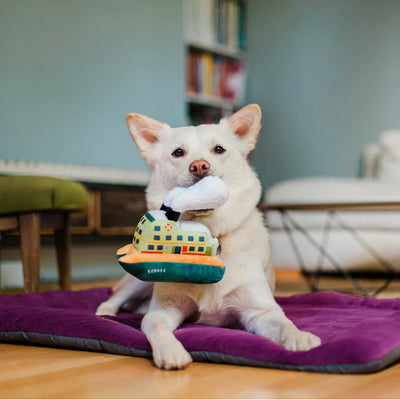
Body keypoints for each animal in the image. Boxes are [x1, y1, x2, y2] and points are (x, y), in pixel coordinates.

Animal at [95, 104, 320, 368]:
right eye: (178, 152)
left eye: (219, 149)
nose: (199, 166)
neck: (210, 233)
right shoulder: (163, 309)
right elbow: (157, 327)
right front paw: (171, 351)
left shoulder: (260, 310)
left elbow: (284, 323)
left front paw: (300, 337)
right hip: (141, 279)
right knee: (117, 296)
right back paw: (106, 313)